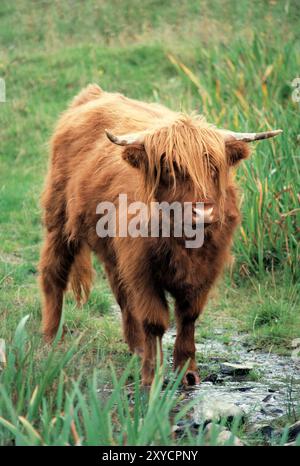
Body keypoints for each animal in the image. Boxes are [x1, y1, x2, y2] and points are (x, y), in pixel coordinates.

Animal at [39, 84, 282, 386]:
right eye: (171, 168)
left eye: (214, 168)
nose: (203, 213)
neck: (183, 240)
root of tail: (93, 94)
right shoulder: (142, 270)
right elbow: (154, 321)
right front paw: (152, 376)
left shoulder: (206, 269)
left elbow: (188, 316)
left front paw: (187, 372)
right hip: (58, 219)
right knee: (53, 274)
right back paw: (51, 338)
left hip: (113, 251)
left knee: (121, 293)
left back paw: (136, 347)